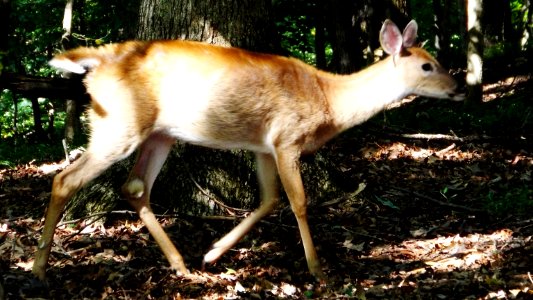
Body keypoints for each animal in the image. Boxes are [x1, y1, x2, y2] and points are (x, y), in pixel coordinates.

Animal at [32, 19, 462, 282]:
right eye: (427, 65)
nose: (459, 88)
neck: (329, 99)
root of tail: (97, 61)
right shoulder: (287, 137)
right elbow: (298, 202)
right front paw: (317, 269)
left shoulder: (264, 146)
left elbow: (269, 199)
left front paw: (212, 253)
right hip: (119, 123)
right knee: (65, 179)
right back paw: (37, 268)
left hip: (158, 133)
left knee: (135, 187)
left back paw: (181, 264)